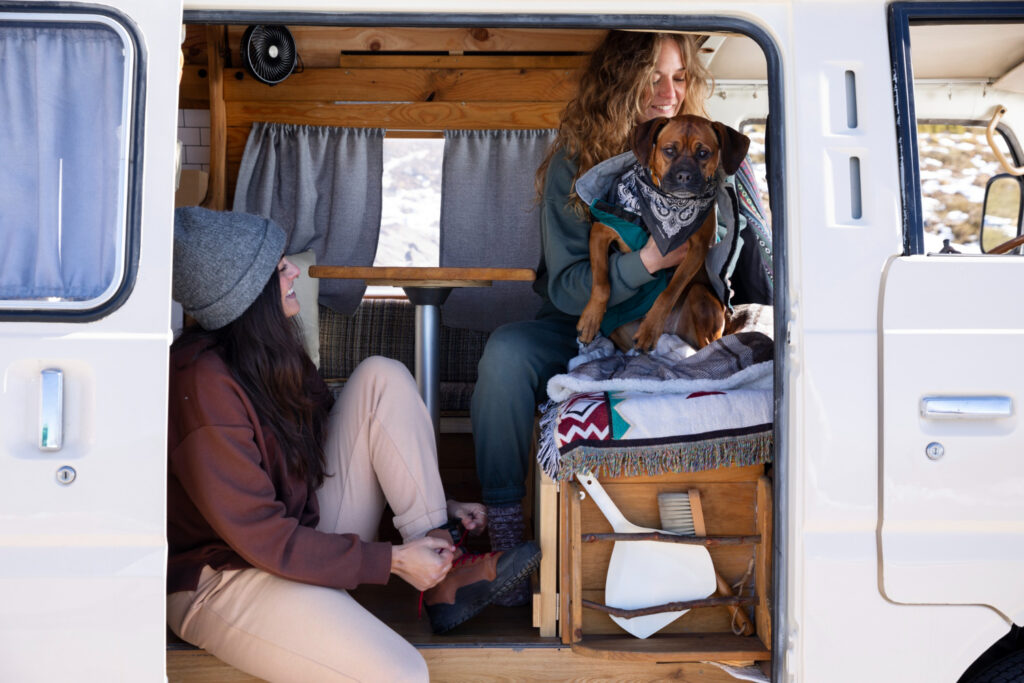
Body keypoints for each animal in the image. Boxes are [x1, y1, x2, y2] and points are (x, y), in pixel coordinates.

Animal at [581, 114, 749, 350]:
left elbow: (669, 292)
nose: (684, 176)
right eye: (669, 150)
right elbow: (601, 283)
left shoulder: (697, 249)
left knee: (709, 345)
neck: (670, 205)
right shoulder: (600, 232)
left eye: (703, 153)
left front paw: (650, 329)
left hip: (699, 296)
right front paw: (590, 319)